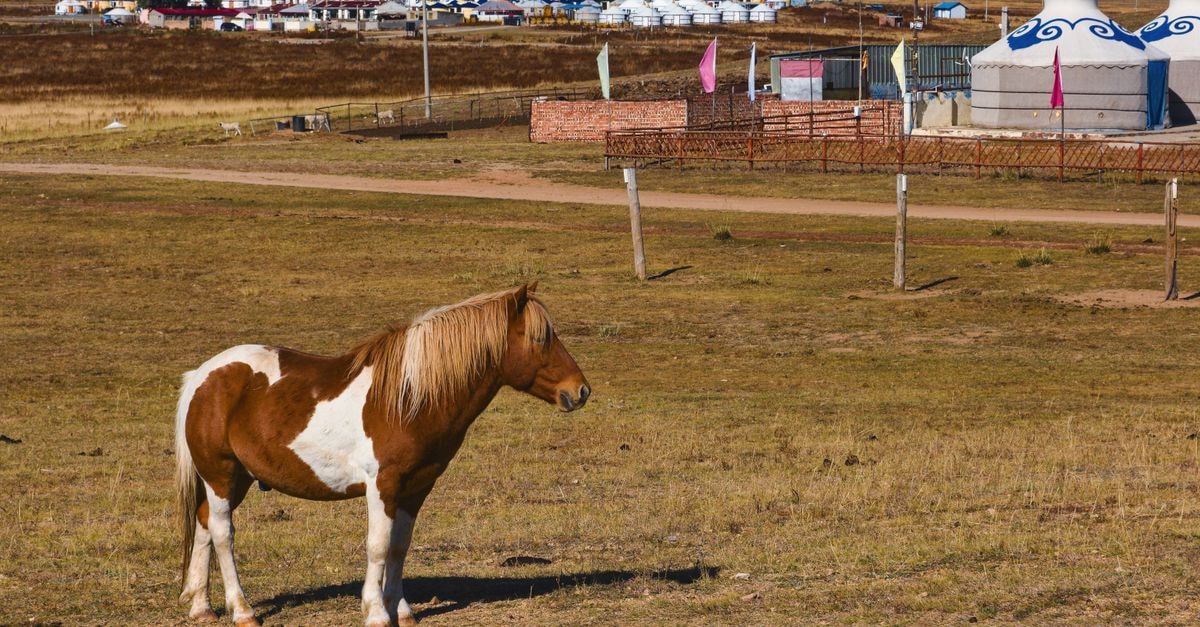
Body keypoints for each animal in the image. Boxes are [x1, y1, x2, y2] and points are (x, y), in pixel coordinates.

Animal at [174, 283, 590, 626]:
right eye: (541, 338)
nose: (581, 390)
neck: (409, 398)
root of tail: (203, 376)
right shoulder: (383, 486)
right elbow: (378, 545)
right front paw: (376, 612)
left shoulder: (416, 487)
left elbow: (399, 546)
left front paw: (401, 610)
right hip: (221, 475)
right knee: (224, 534)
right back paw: (242, 610)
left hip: (237, 479)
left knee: (205, 523)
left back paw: (202, 606)